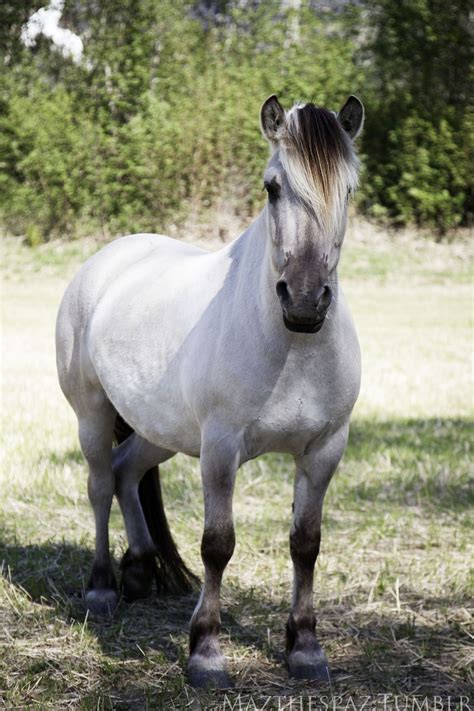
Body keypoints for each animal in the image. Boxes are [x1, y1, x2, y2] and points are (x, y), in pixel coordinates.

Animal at [56, 94, 366, 688]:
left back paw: (138, 571)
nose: (304, 301)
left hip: (161, 431)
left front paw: (305, 648)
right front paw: (206, 654)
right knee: (101, 484)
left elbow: (306, 543)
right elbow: (218, 545)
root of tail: (108, 259)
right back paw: (102, 588)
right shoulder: (220, 449)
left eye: (349, 190)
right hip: (91, 415)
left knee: (127, 472)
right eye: (272, 187)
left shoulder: (324, 450)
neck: (292, 348)